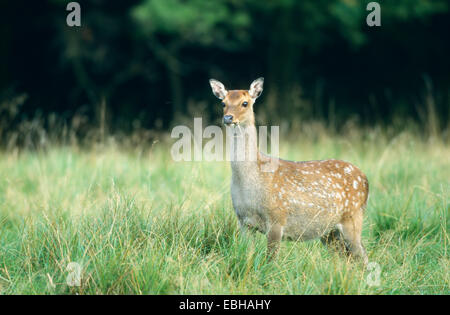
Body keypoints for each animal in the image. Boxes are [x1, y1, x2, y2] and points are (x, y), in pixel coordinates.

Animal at [208, 77, 370, 264]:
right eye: (223, 103)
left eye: (245, 103)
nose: (228, 118)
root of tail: (365, 179)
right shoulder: (243, 221)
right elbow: (248, 255)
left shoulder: (277, 219)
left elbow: (270, 260)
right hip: (329, 232)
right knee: (347, 259)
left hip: (353, 217)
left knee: (363, 257)